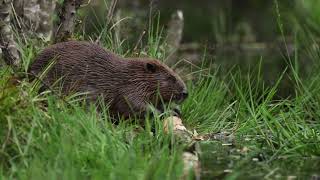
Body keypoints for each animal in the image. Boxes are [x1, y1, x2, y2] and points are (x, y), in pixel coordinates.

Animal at [29, 41, 188, 119]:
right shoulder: (129, 89)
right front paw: (168, 113)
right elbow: (135, 105)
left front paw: (175, 109)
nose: (186, 93)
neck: (132, 75)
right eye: (171, 77)